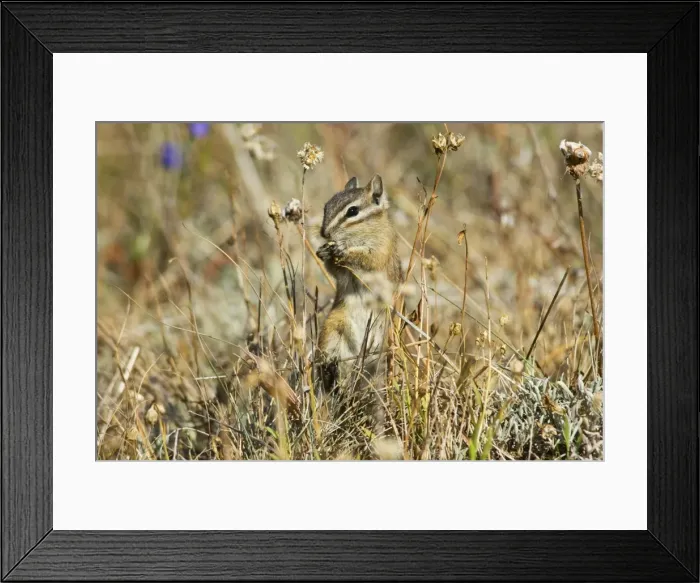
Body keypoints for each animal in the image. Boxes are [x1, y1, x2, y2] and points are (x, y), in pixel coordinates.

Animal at [316, 174, 402, 392]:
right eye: (326, 206)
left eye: (352, 211)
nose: (324, 233)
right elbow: (335, 270)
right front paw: (323, 252)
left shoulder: (381, 251)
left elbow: (367, 259)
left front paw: (342, 250)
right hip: (334, 324)